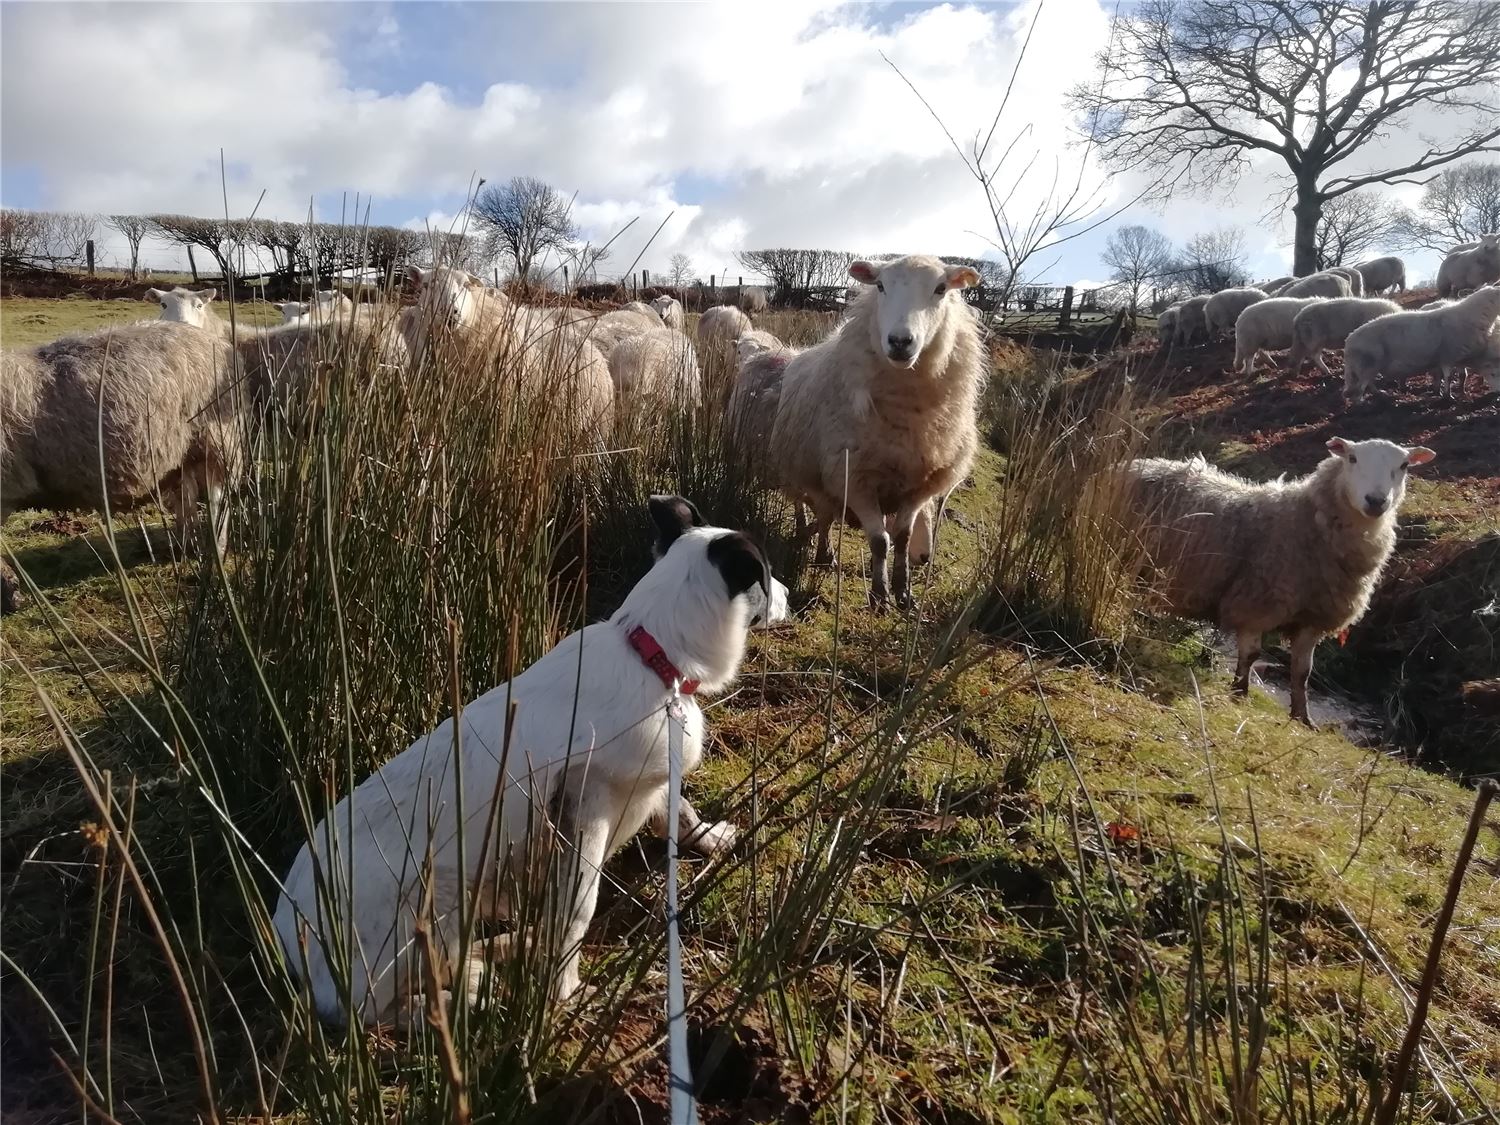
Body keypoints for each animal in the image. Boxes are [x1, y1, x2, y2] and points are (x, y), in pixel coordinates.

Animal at [1, 321, 243, 553]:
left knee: (217, 499)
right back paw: (188, 546)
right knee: (186, 497)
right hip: (180, 456)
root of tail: (216, 341)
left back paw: (216, 549)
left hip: (218, 438)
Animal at [769, 255, 983, 607]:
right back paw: (819, 547)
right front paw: (880, 595)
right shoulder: (854, 478)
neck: (907, 419)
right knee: (815, 509)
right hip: (804, 465)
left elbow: (901, 537)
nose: (899, 341)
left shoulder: (918, 485)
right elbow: (880, 541)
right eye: (880, 285)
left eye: (940, 289)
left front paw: (903, 591)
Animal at [1121, 437, 1435, 726]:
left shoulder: (1313, 619)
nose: (1376, 501)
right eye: (1352, 458)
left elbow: (1303, 672)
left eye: (1404, 466)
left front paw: (1302, 718)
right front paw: (1239, 694)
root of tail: (1130, 463)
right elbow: (1251, 655)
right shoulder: (1255, 602)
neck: (1306, 521)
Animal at [1343, 285, 1500, 401]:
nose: (1497, 393)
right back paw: (1361, 403)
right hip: (1367, 364)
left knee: (1368, 383)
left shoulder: (1459, 356)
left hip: (1367, 366)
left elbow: (1462, 376)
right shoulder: (1447, 356)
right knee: (1361, 387)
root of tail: (1349, 341)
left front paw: (1461, 392)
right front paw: (1448, 396)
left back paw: (1379, 394)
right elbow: (1448, 377)